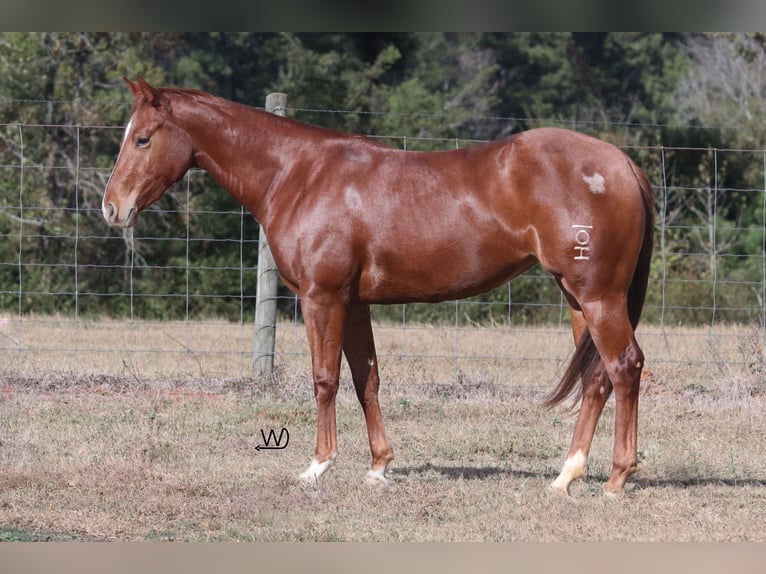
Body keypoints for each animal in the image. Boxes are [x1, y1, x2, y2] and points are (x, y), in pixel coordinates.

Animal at [100, 79, 656, 498]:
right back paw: (567, 475)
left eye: (142, 138)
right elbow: (365, 379)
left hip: (598, 297)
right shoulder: (355, 304)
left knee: (624, 367)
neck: (297, 173)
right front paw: (378, 467)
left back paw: (616, 479)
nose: (111, 208)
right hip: (578, 299)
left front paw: (317, 466)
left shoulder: (321, 298)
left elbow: (325, 379)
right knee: (598, 378)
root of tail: (622, 162)